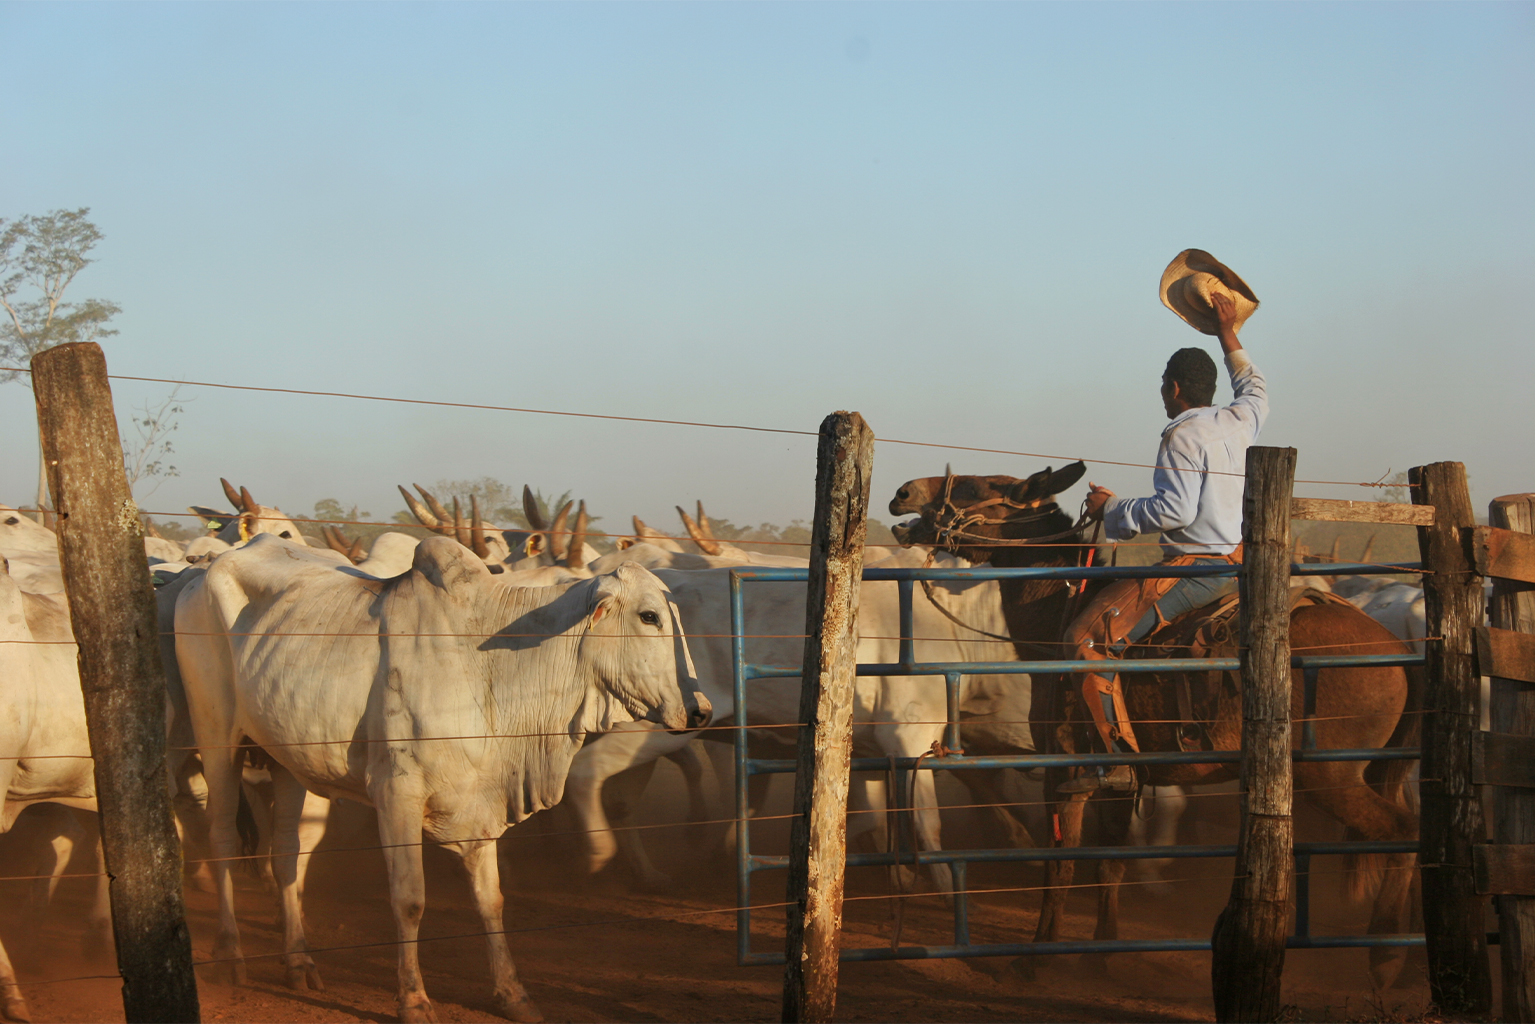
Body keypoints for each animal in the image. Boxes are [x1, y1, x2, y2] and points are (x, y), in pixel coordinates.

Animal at [171, 537, 709, 1024]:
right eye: (649, 617)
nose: (701, 710)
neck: (490, 663)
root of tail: (201, 569)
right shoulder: (396, 795)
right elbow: (409, 900)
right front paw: (413, 1000)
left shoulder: (481, 799)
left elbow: (490, 899)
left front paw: (513, 994)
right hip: (216, 737)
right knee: (221, 835)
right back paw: (231, 952)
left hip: (283, 757)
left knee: (284, 853)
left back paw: (299, 961)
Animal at [897, 463, 1419, 994]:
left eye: (973, 487)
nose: (902, 494)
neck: (1058, 616)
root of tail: (1397, 646)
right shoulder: (1119, 779)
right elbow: (1110, 861)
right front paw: (1100, 957)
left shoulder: (1064, 769)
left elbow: (1062, 862)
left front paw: (1034, 960)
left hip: (1330, 776)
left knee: (1402, 829)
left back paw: (1387, 955)